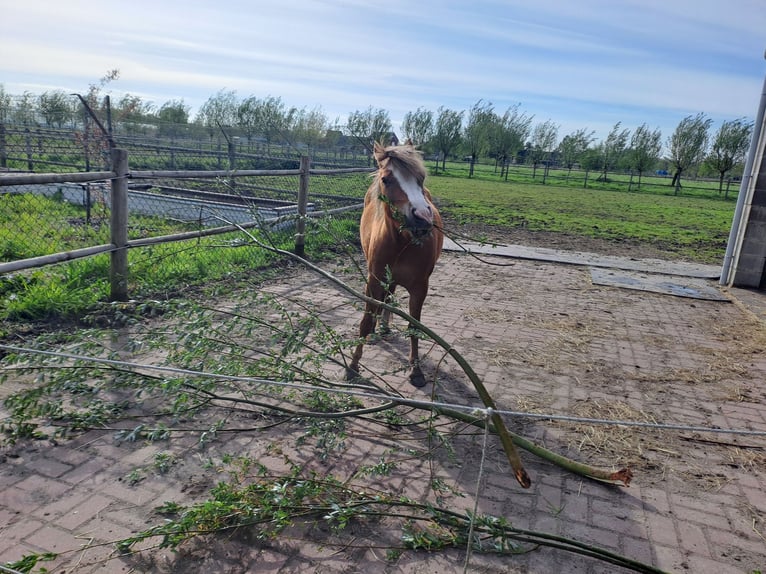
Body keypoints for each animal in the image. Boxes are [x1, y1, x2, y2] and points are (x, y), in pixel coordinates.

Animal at [348, 142, 444, 390]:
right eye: (386, 179)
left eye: (420, 178)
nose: (422, 218)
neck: (402, 242)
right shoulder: (374, 281)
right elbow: (365, 322)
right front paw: (352, 366)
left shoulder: (420, 288)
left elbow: (414, 328)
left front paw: (416, 371)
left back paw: (384, 326)